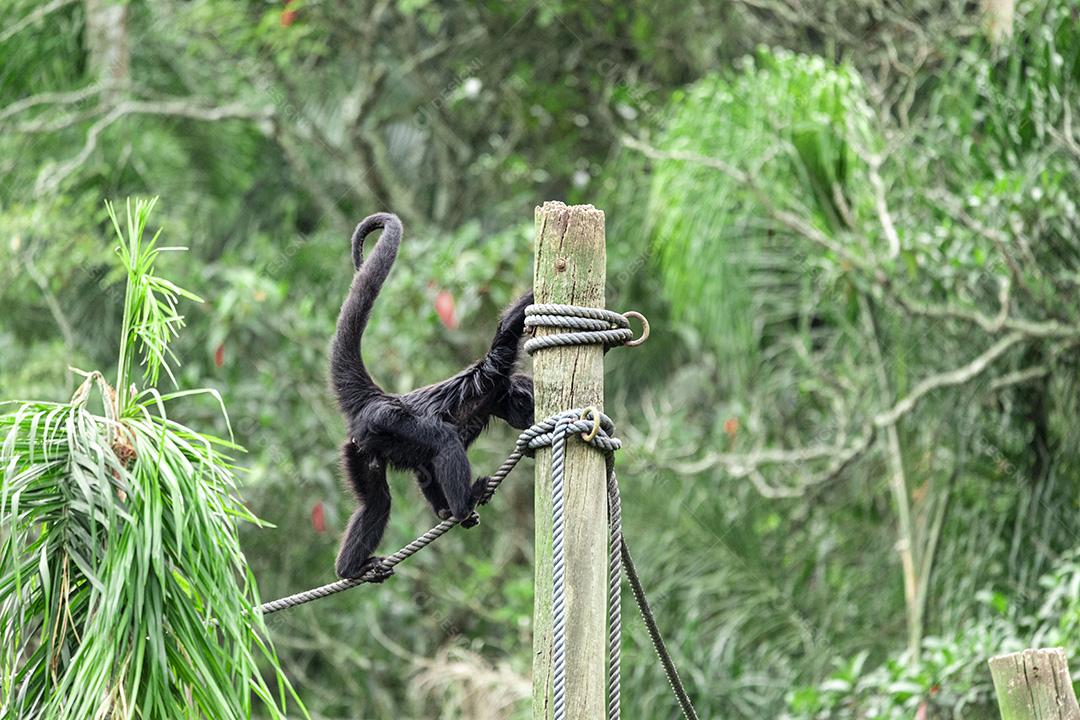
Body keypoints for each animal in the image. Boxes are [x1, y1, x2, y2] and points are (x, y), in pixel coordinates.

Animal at [330, 212, 534, 580]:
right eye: (529, 406)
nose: (529, 419)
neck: (493, 399)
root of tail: (379, 398)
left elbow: (426, 466)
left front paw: (444, 512)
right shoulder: (494, 372)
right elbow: (508, 330)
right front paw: (458, 510)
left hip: (360, 446)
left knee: (377, 502)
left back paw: (350, 569)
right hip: (388, 422)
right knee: (443, 438)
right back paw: (465, 503)